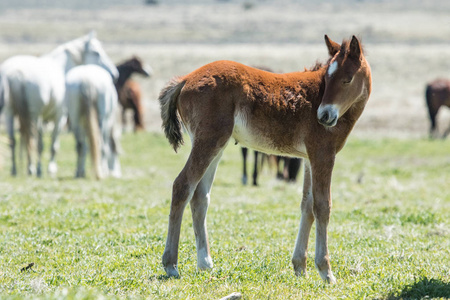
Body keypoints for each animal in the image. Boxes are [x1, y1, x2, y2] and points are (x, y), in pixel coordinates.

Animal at [0, 31, 118, 176]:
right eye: (97, 52)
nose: (115, 74)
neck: (61, 66)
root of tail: (17, 74)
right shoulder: (60, 116)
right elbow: (53, 144)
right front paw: (50, 169)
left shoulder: (45, 118)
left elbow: (42, 145)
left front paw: (41, 169)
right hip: (34, 114)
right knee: (31, 138)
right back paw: (31, 168)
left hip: (10, 113)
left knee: (13, 140)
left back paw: (15, 170)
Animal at [158, 36, 372, 282]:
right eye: (327, 78)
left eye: (347, 79)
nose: (324, 116)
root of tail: (185, 79)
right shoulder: (323, 155)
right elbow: (322, 206)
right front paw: (326, 271)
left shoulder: (310, 158)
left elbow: (307, 206)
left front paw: (300, 267)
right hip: (209, 141)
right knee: (182, 186)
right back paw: (171, 264)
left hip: (215, 145)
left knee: (200, 196)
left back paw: (205, 262)